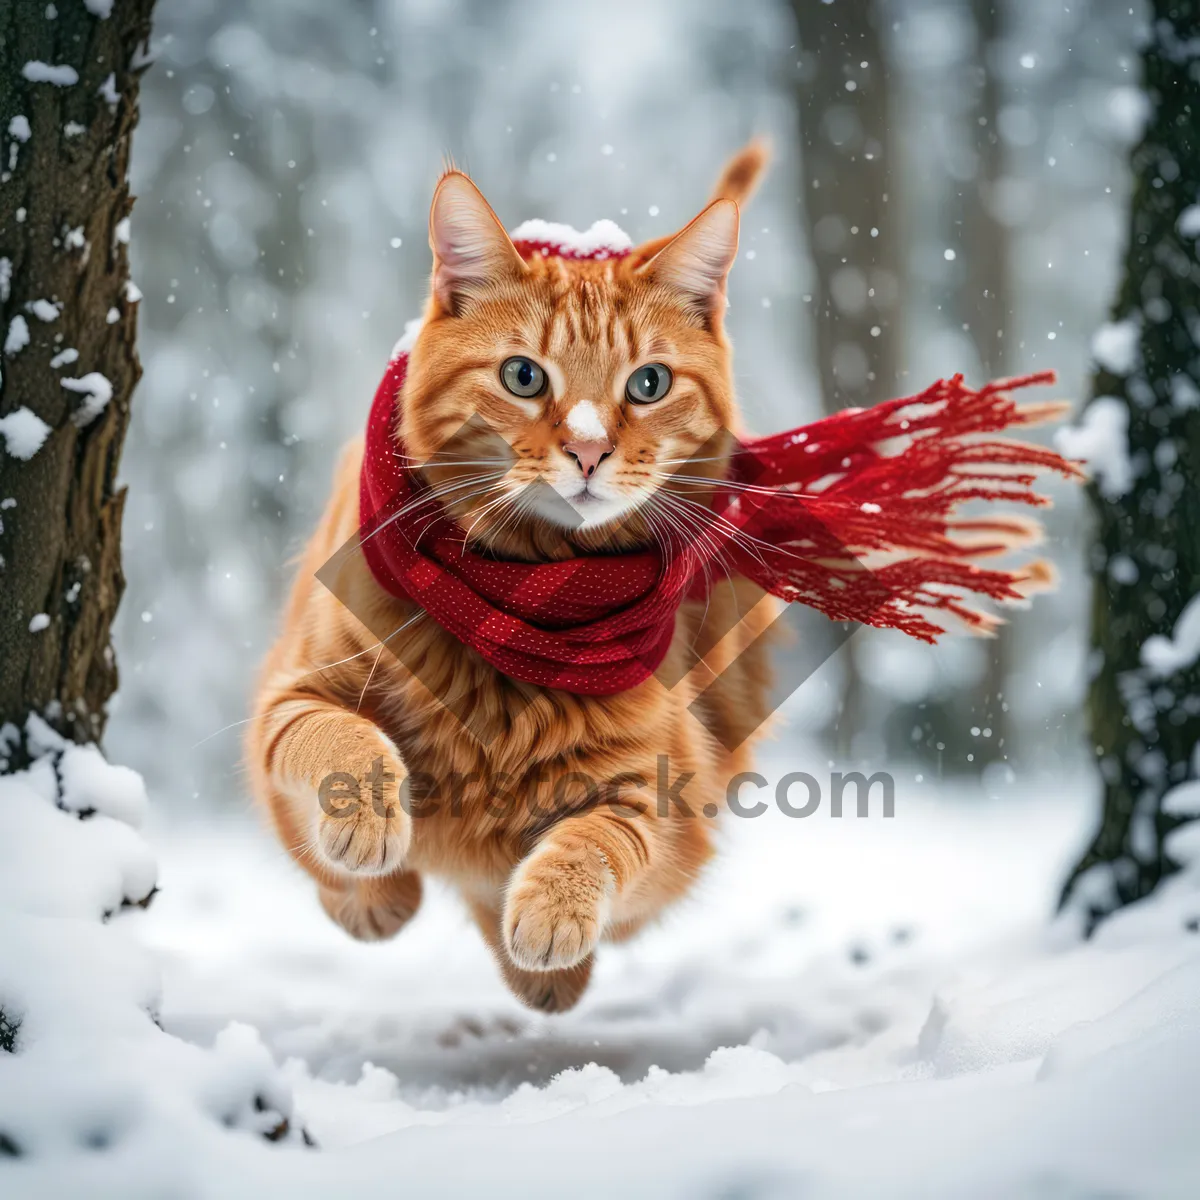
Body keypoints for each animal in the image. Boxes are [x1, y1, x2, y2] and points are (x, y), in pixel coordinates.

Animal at [250, 140, 777, 1012]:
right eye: (524, 377)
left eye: (649, 384)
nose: (590, 451)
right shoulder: (289, 696)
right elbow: (342, 743)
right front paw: (371, 857)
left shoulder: (661, 792)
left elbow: (597, 838)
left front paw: (549, 919)